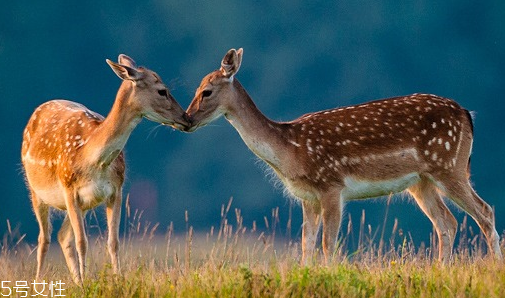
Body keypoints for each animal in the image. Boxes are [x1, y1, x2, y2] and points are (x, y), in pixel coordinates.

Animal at [20, 54, 188, 284]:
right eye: (162, 90)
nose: (186, 118)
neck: (92, 160)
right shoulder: (68, 188)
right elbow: (82, 242)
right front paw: (87, 283)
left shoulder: (116, 190)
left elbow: (113, 241)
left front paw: (116, 279)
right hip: (35, 190)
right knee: (44, 238)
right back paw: (39, 283)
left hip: (82, 204)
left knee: (62, 236)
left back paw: (76, 280)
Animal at [186, 47, 504, 264]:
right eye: (196, 88)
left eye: (207, 91)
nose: (187, 120)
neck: (291, 149)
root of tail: (466, 114)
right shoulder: (307, 197)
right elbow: (307, 244)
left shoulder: (331, 185)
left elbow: (328, 244)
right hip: (421, 182)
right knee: (447, 222)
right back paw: (440, 267)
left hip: (449, 166)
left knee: (484, 212)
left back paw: (493, 267)